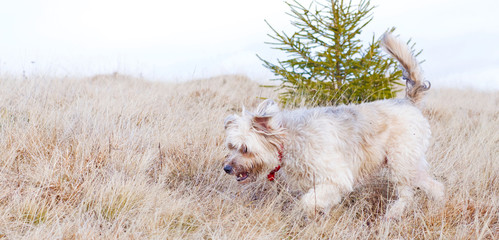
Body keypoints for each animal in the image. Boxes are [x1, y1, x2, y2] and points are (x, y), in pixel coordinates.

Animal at [223, 33, 446, 219]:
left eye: (245, 149)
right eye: (231, 147)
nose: (226, 168)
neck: (290, 138)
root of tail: (408, 101)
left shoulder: (335, 177)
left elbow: (308, 201)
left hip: (401, 161)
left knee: (408, 191)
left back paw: (395, 213)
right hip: (410, 164)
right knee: (433, 185)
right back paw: (439, 203)